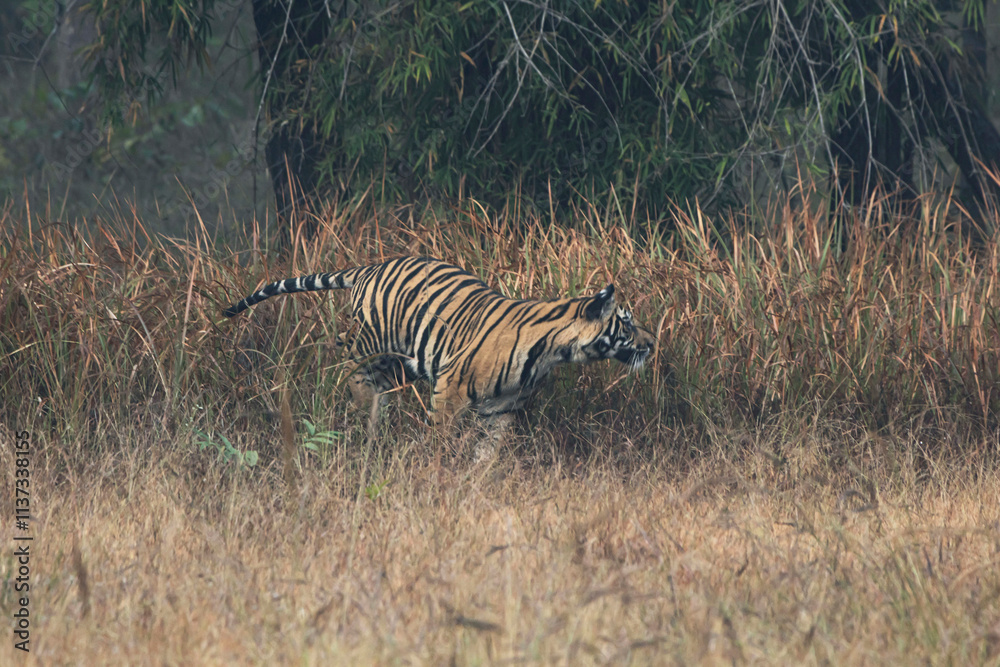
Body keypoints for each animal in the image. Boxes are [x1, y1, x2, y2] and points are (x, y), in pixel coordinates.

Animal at [223, 256, 655, 430]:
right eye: (626, 323)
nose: (653, 342)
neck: (552, 353)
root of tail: (370, 267)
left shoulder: (503, 409)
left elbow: (488, 454)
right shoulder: (450, 390)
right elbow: (441, 440)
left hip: (400, 363)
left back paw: (372, 412)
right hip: (369, 338)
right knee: (339, 354)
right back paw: (357, 401)